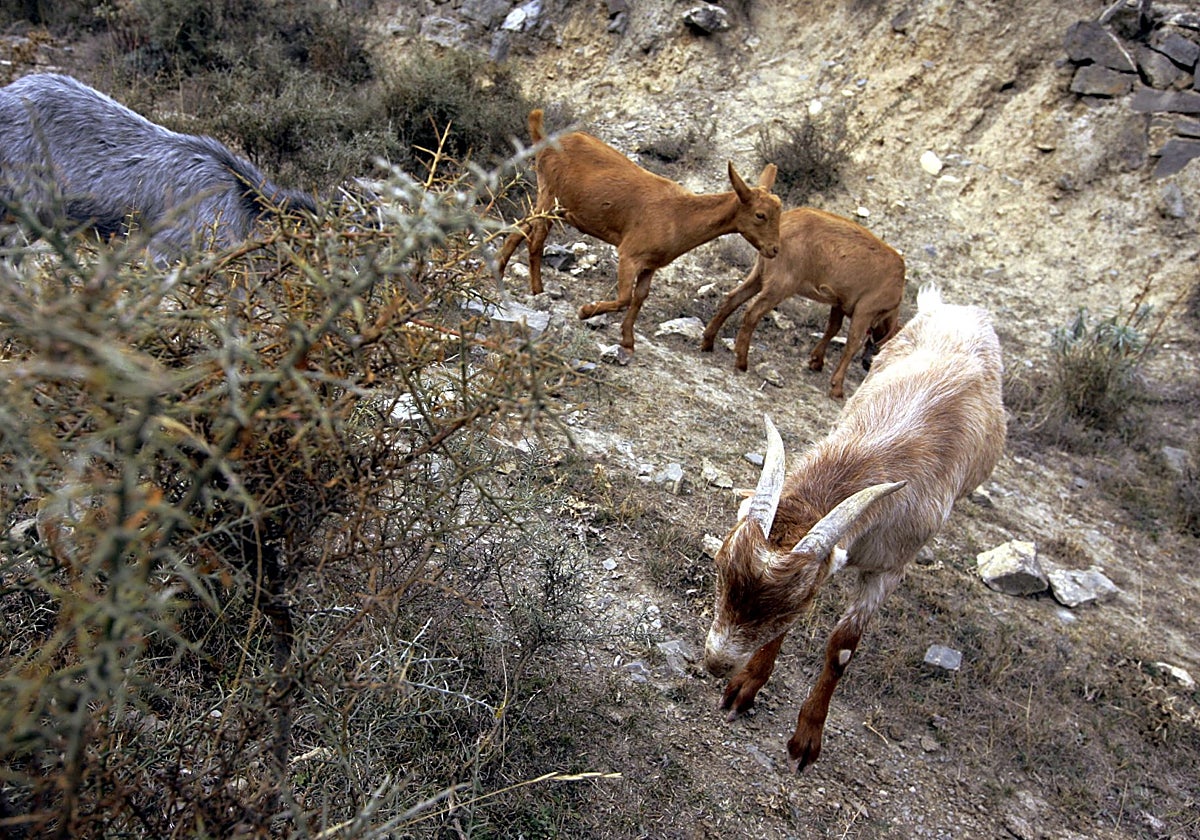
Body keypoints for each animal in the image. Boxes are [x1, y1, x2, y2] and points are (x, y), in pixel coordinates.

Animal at [495, 109, 782, 356]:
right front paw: (586, 311)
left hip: (552, 203)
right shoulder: (629, 254)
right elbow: (624, 297)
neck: (680, 217)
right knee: (535, 238)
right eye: (760, 215)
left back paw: (500, 270)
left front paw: (627, 340)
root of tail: (544, 141)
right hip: (550, 195)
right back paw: (536, 289)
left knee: (520, 228)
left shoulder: (650, 264)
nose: (774, 249)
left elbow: (639, 298)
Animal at [700, 207, 906, 399]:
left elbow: (833, 328)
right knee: (753, 312)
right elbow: (852, 344)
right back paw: (742, 361)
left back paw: (708, 341)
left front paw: (816, 361)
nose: (867, 364)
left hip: (760, 273)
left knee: (733, 298)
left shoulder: (839, 303)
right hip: (782, 282)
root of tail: (783, 223)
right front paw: (837, 388)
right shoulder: (866, 309)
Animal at [703, 284, 1005, 772]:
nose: (715, 662)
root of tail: (955, 309)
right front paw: (745, 687)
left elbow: (843, 647)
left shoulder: (890, 568)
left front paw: (806, 740)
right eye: (718, 567)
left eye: (795, 602)